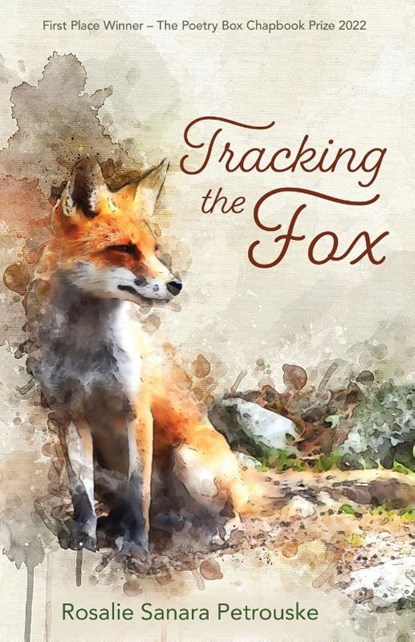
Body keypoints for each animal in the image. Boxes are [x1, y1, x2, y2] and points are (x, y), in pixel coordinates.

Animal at [26, 157, 251, 556]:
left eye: (154, 247)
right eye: (125, 249)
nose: (176, 284)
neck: (87, 354)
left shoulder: (137, 413)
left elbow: (138, 490)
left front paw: (136, 546)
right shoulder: (70, 417)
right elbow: (80, 493)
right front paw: (84, 537)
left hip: (189, 459)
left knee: (230, 508)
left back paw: (217, 531)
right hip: (109, 470)